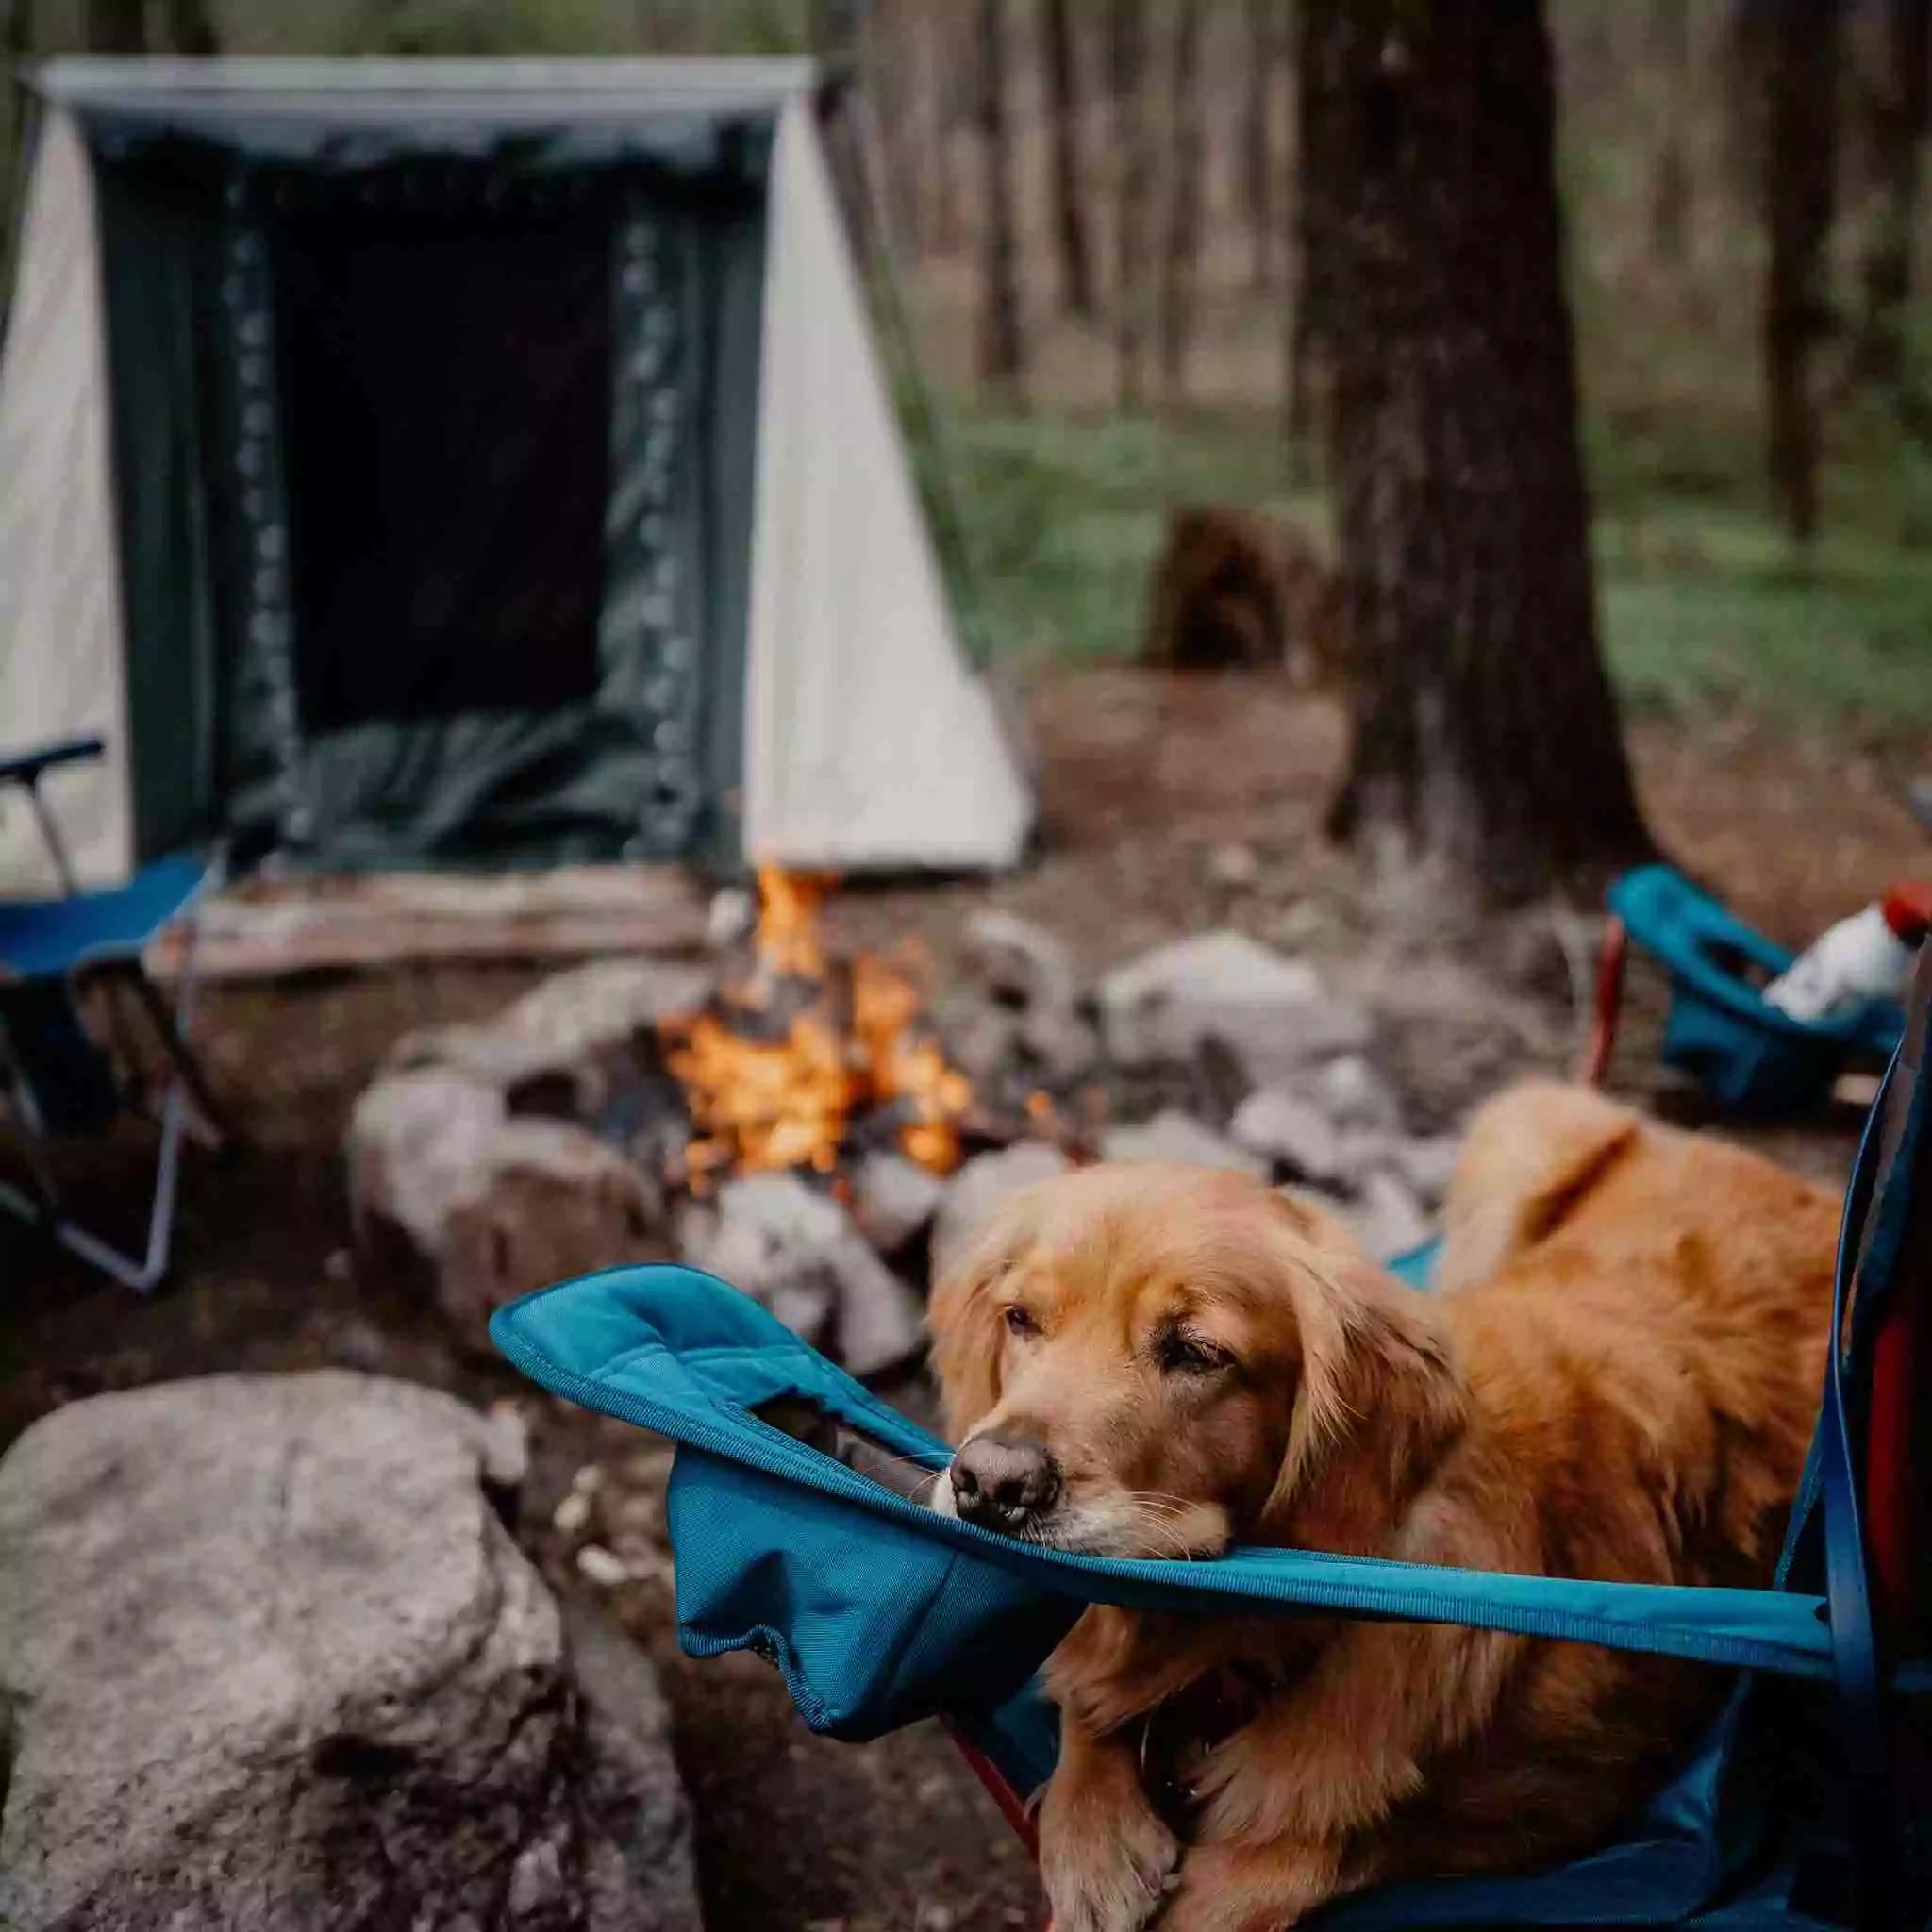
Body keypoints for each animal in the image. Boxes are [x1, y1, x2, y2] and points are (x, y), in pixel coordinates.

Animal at [927, 1081, 1831, 1932]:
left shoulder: (1577, 1798)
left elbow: (1306, 1849)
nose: (992, 1482)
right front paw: (1095, 1837)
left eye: (1195, 1352)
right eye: (1021, 1319)